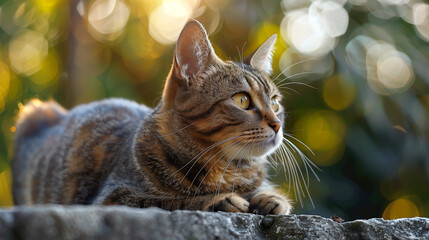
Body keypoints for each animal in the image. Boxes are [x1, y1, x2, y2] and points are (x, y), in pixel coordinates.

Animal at [14, 18, 294, 214]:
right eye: (242, 100)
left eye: (275, 102)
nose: (277, 124)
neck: (229, 170)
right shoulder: (116, 198)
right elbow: (174, 201)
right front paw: (220, 199)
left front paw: (271, 197)